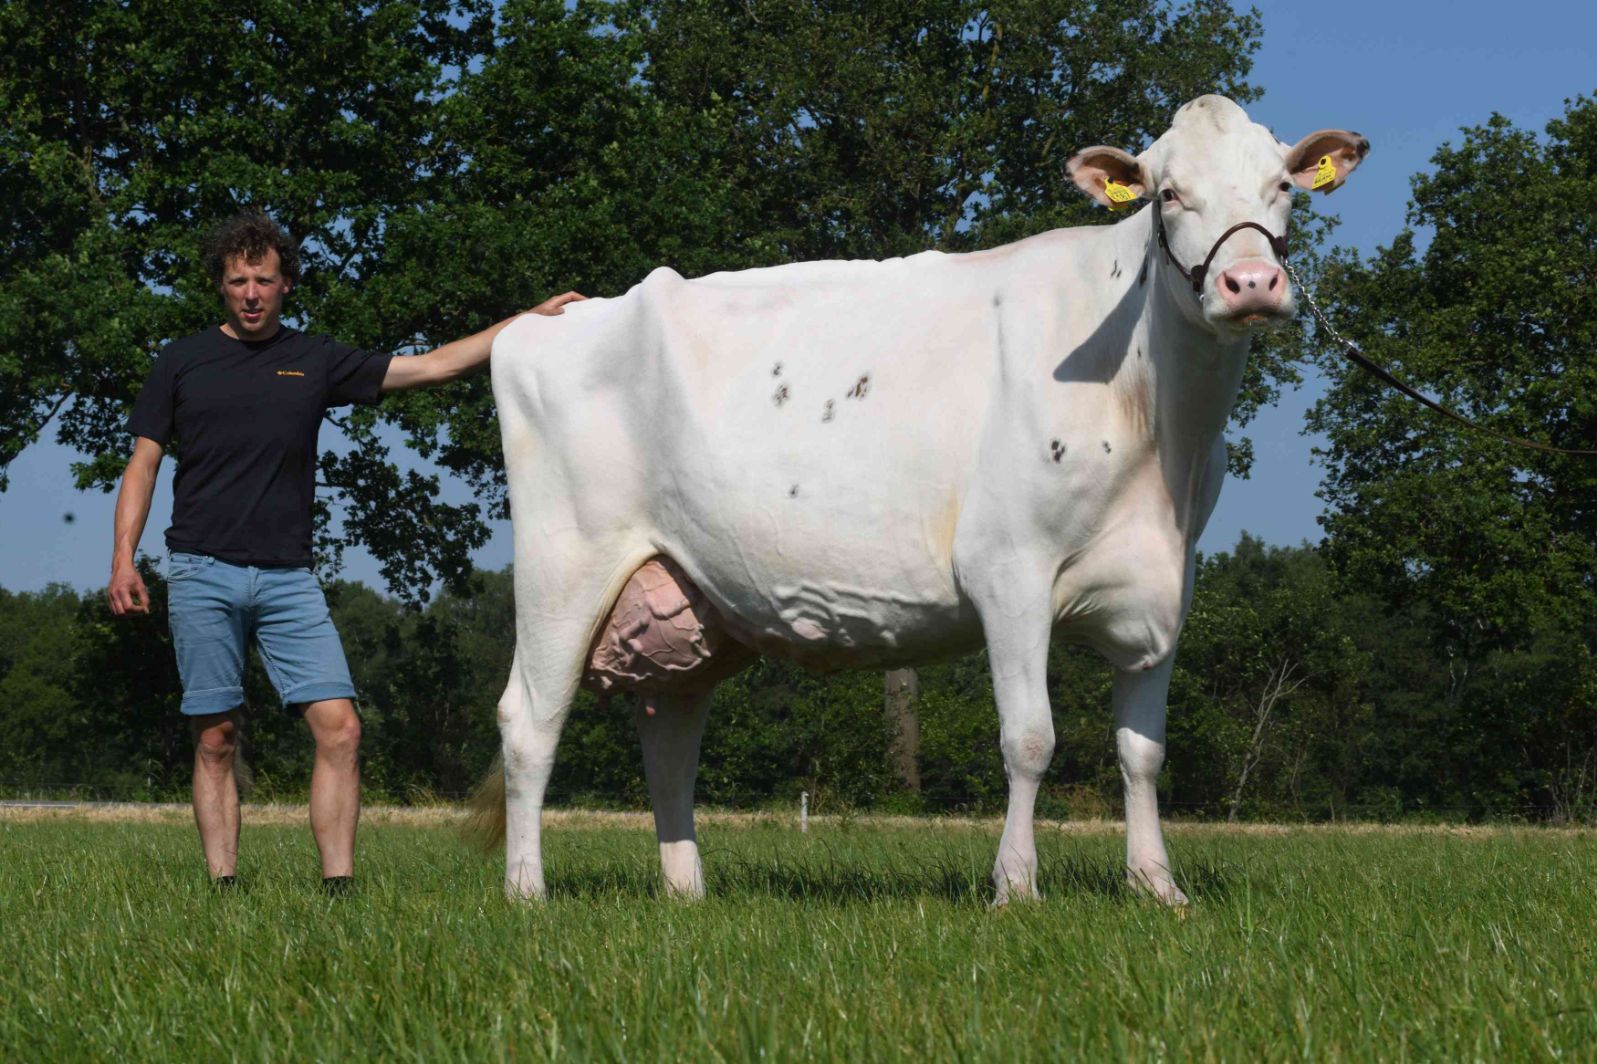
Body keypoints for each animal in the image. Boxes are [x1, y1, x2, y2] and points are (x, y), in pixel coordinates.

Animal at [482, 95, 1368, 905]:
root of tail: (545, 322)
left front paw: (1156, 886)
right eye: (1167, 194)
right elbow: (1029, 739)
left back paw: (685, 892)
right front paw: (1015, 886)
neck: (1157, 431)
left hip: (686, 594)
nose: (1249, 282)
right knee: (529, 722)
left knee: (668, 738)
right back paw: (526, 892)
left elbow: (1142, 751)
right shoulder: (1008, 569)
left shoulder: (1164, 583)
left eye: (1281, 185)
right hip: (564, 562)